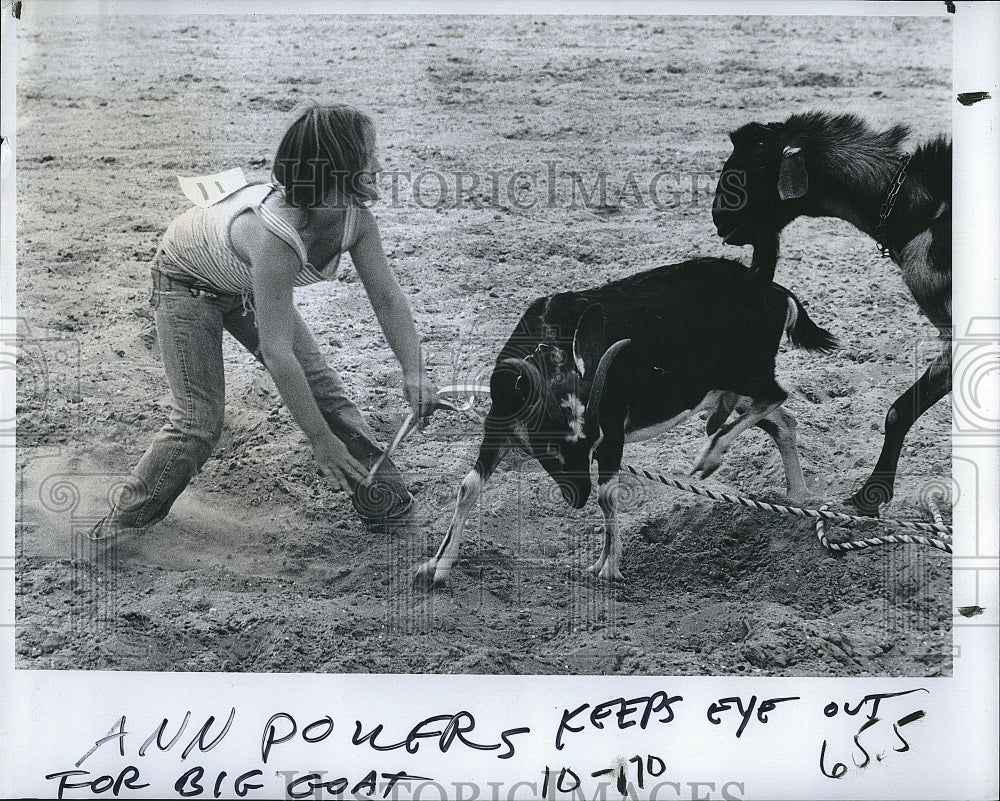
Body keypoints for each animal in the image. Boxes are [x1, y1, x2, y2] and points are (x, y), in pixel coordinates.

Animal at [414, 258, 836, 588]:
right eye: (550, 448)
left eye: (590, 444)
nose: (576, 497)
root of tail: (776, 291)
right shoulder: (499, 426)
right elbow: (468, 487)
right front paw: (436, 567)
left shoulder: (612, 431)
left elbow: (607, 494)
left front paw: (608, 567)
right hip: (730, 386)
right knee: (782, 420)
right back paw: (798, 497)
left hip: (748, 373)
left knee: (775, 398)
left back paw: (711, 455)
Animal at [712, 111, 952, 512]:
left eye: (760, 162)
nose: (719, 218)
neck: (922, 211)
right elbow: (900, 409)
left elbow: (901, 409)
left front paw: (869, 496)